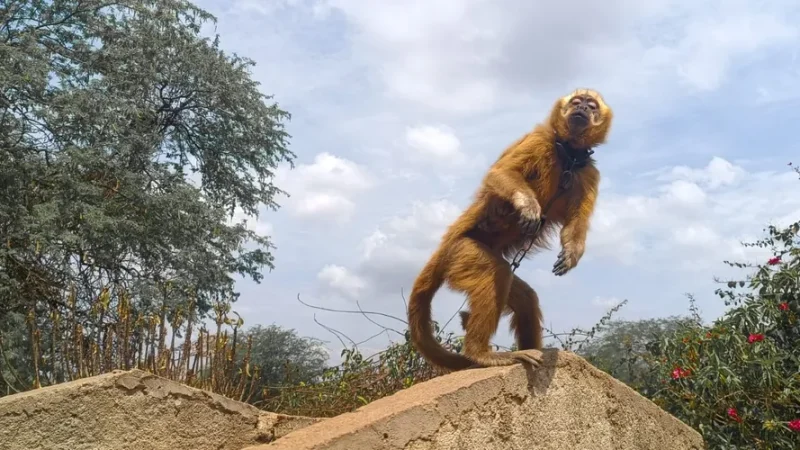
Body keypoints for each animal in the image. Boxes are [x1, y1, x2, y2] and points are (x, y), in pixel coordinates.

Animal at [407, 88, 613, 372]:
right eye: (576, 102)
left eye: (591, 106)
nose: (581, 108)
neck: (568, 155)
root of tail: (444, 248)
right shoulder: (539, 141)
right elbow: (500, 173)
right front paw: (528, 206)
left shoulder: (589, 170)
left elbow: (576, 223)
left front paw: (572, 252)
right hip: (463, 251)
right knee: (498, 272)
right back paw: (480, 354)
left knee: (525, 297)